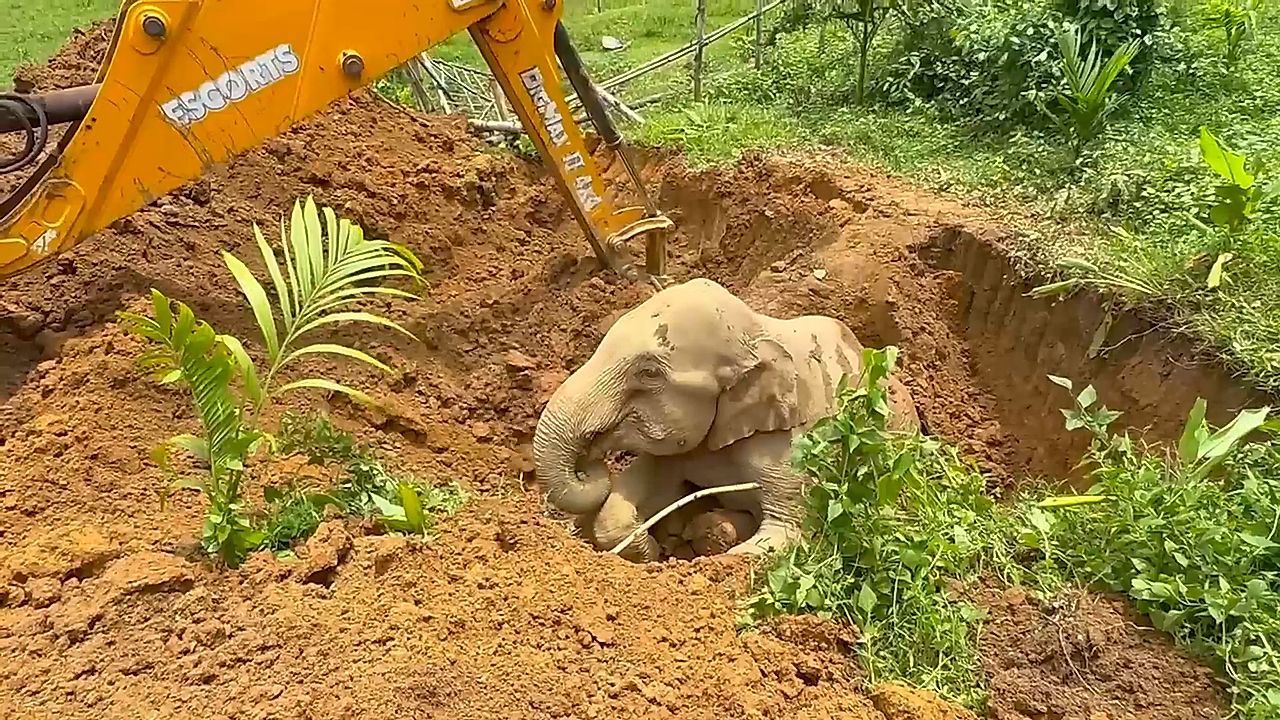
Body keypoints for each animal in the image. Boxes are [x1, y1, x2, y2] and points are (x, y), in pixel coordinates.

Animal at [532, 277, 919, 561]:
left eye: (649, 373)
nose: (590, 466)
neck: (759, 331)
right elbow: (642, 486)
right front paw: (651, 548)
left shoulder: (789, 440)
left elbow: (786, 531)